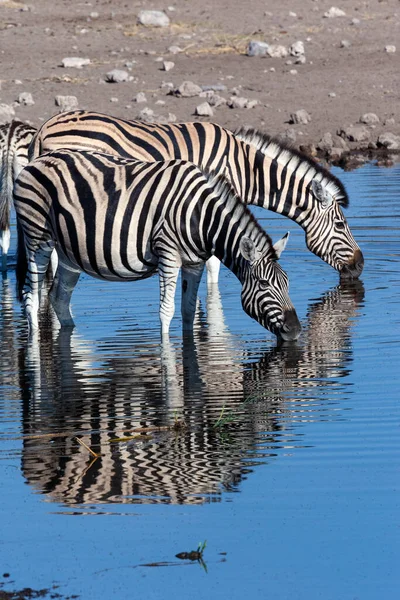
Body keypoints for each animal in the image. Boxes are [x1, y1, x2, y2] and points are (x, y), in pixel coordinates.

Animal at [12, 148, 302, 340]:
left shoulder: (195, 263)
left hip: (69, 253)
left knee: (59, 298)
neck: (202, 217)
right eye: (263, 284)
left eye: (288, 283)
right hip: (38, 238)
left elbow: (187, 310)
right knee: (31, 297)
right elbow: (167, 310)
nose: (297, 330)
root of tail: (35, 161)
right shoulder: (168, 255)